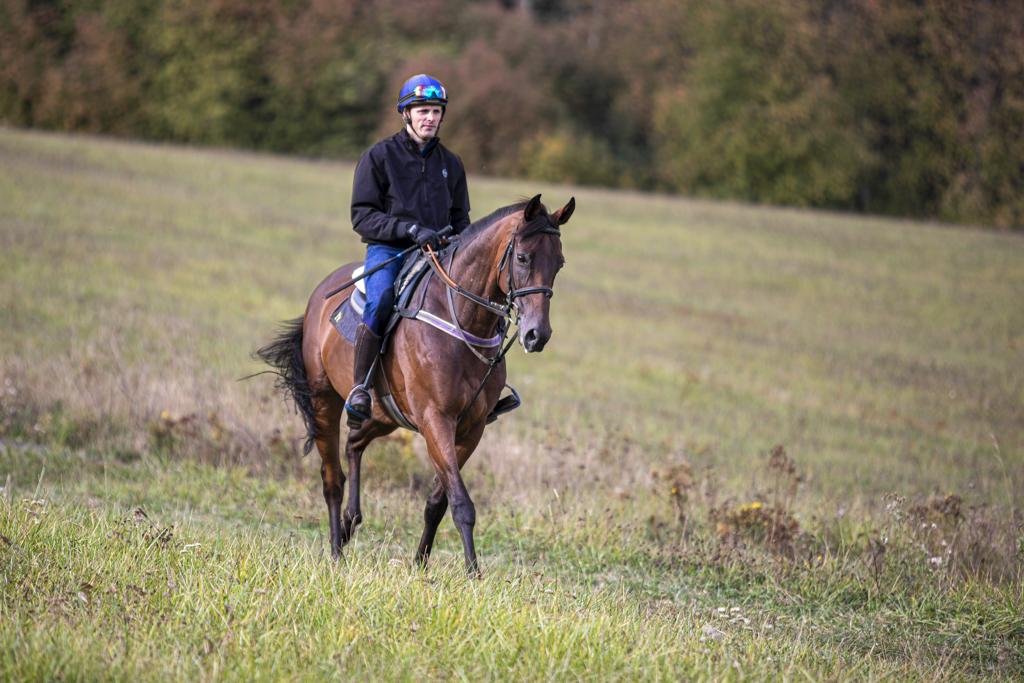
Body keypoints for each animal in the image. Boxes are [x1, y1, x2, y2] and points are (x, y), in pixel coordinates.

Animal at [258, 194, 577, 573]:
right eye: (523, 257)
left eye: (559, 263)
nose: (536, 335)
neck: (462, 320)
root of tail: (317, 300)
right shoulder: (435, 419)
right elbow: (461, 503)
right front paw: (473, 573)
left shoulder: (471, 429)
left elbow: (438, 502)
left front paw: (421, 564)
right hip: (325, 402)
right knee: (332, 478)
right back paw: (336, 550)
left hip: (384, 415)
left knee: (354, 443)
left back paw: (350, 523)